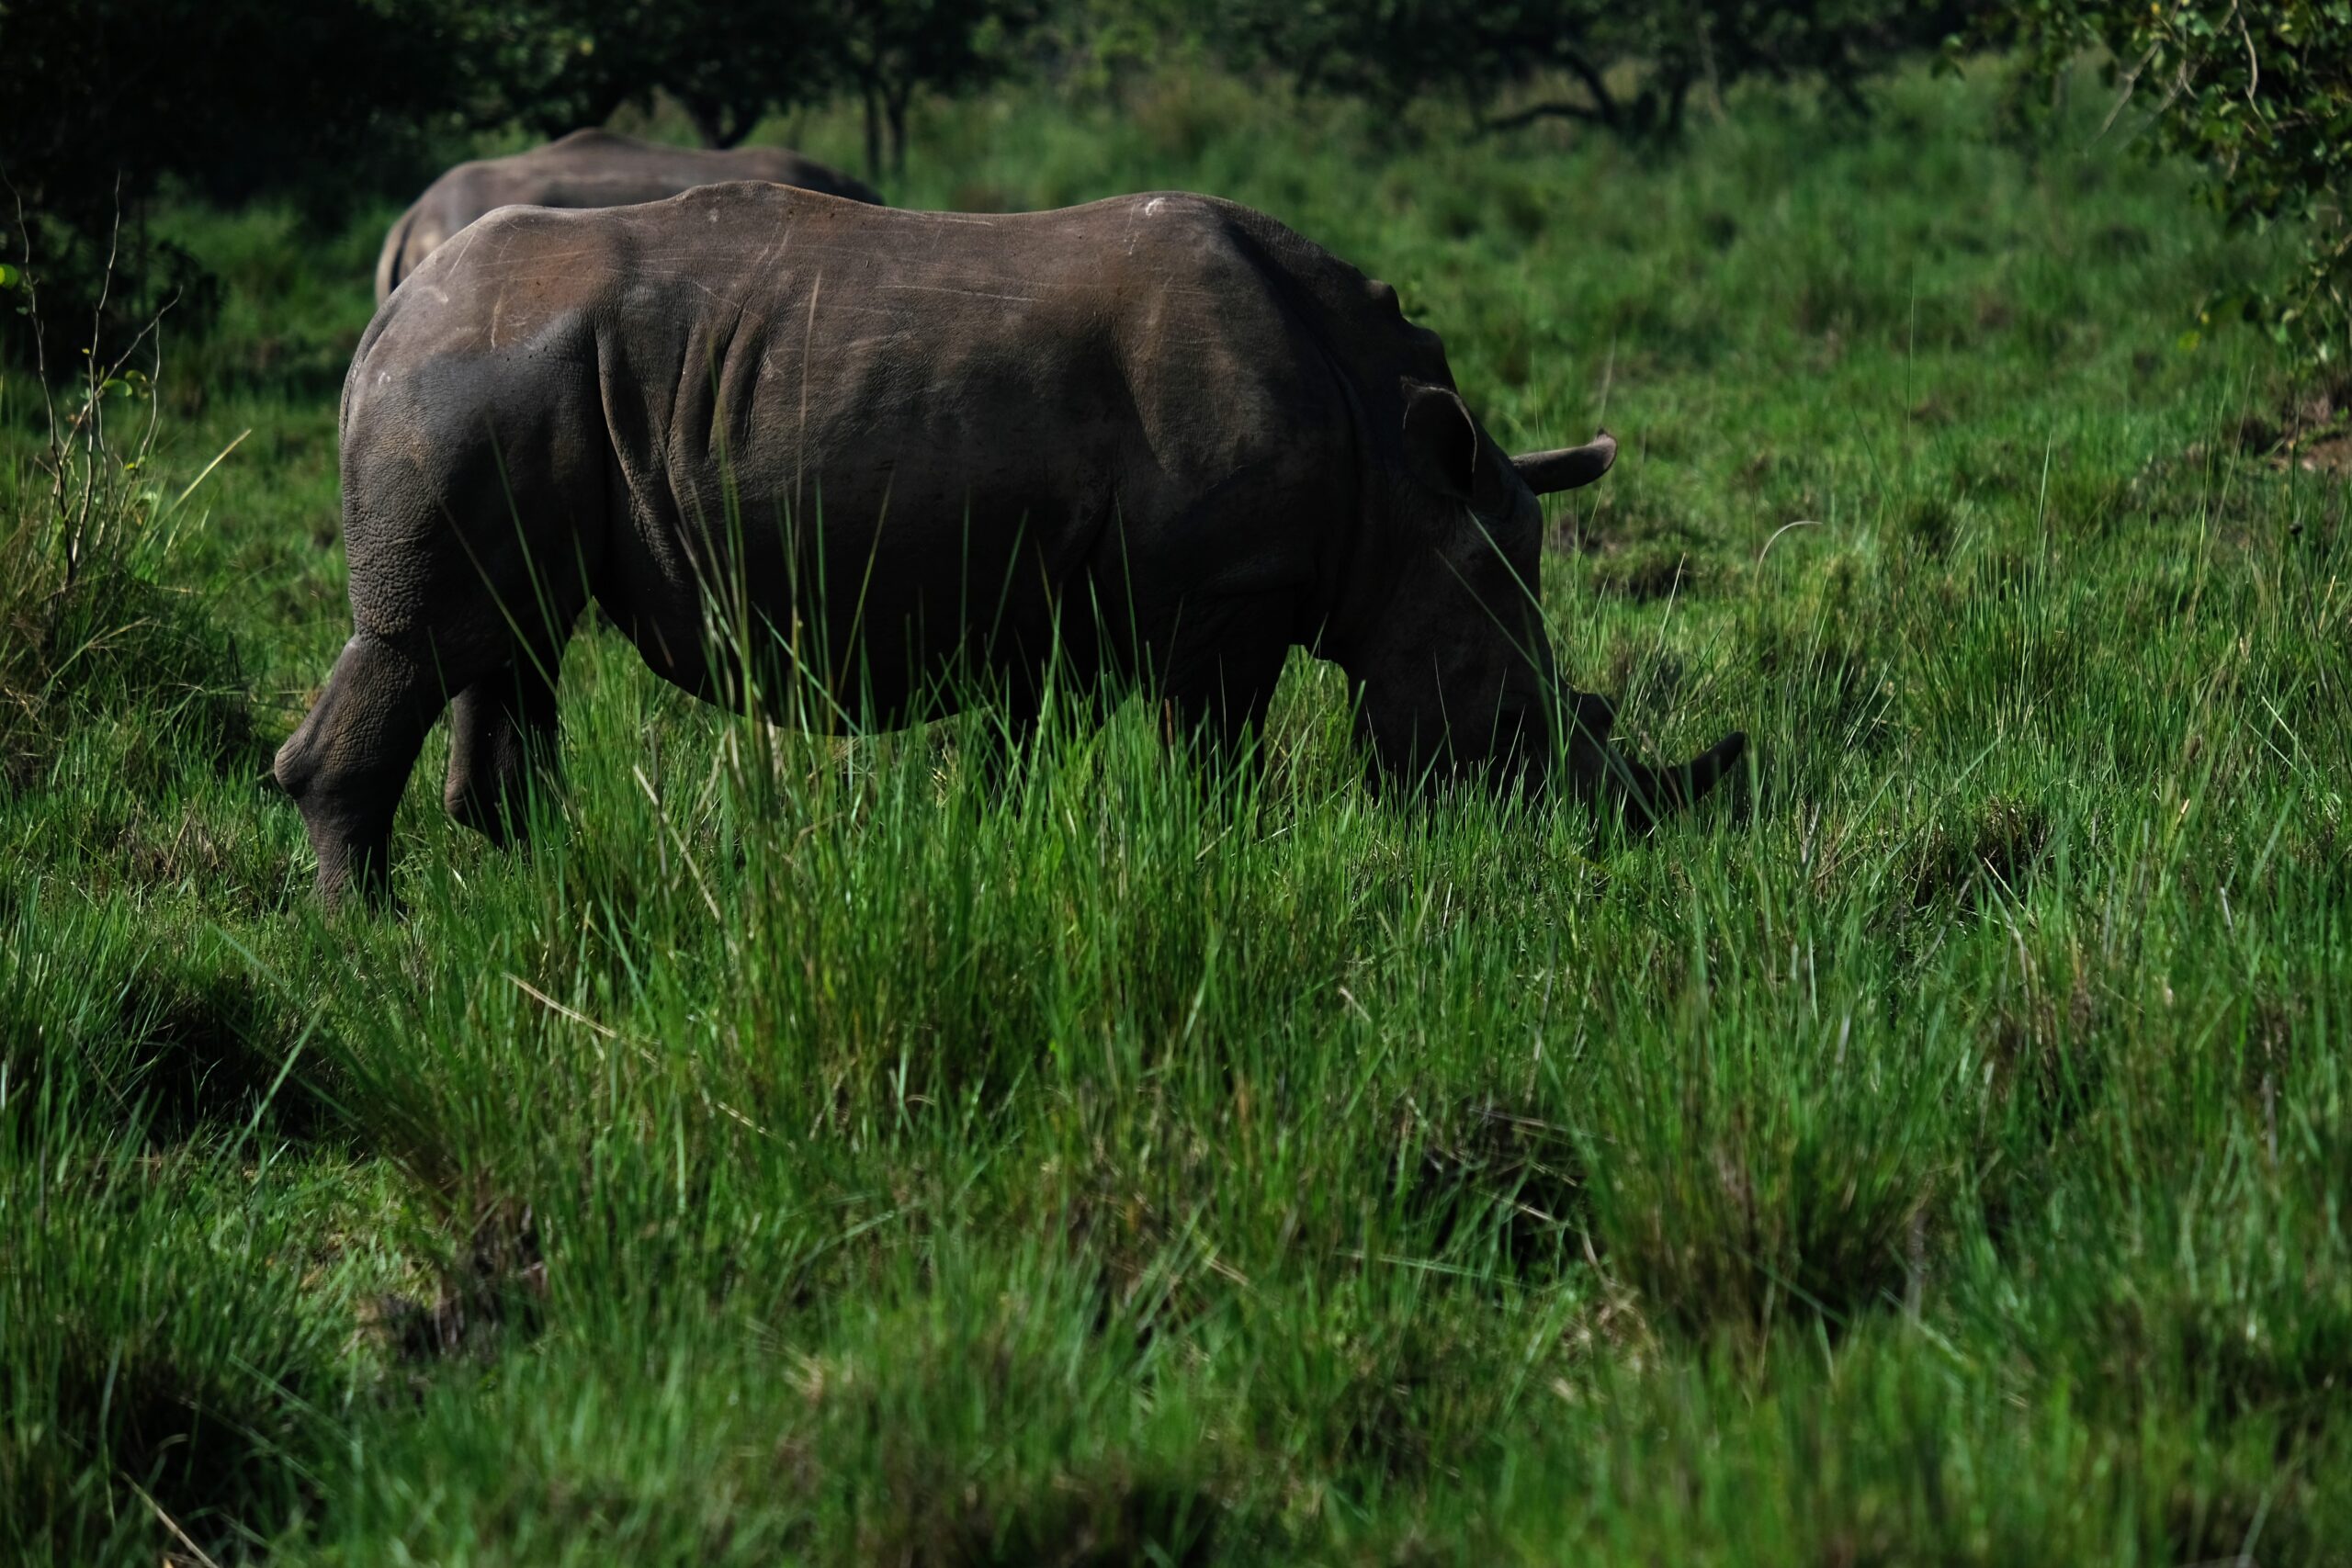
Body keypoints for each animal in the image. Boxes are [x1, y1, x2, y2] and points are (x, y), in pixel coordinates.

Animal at [280, 183, 1743, 902]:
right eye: (1514, 709)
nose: (1592, 841)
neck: (1400, 485)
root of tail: (389, 305)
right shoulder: (1227, 600)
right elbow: (1214, 762)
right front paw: (1217, 871)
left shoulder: (1056, 612)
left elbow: (1014, 761)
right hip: (469, 378)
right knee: (427, 637)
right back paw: (381, 943)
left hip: (516, 382)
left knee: (508, 645)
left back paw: (548, 903)